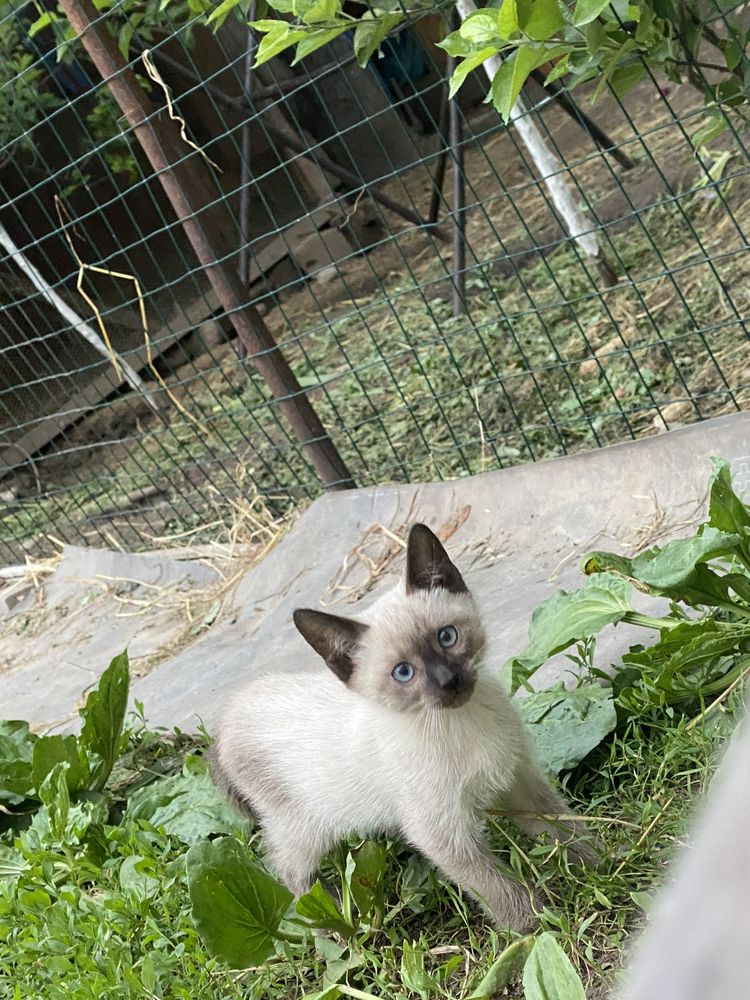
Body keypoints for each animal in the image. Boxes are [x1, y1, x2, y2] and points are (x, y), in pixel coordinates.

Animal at [209, 524, 596, 928]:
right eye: (403, 673)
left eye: (447, 636)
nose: (449, 682)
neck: (460, 721)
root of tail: (223, 723)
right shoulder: (441, 831)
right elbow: (496, 888)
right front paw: (539, 925)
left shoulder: (518, 781)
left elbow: (564, 829)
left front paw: (599, 867)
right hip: (305, 828)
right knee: (291, 873)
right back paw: (334, 920)